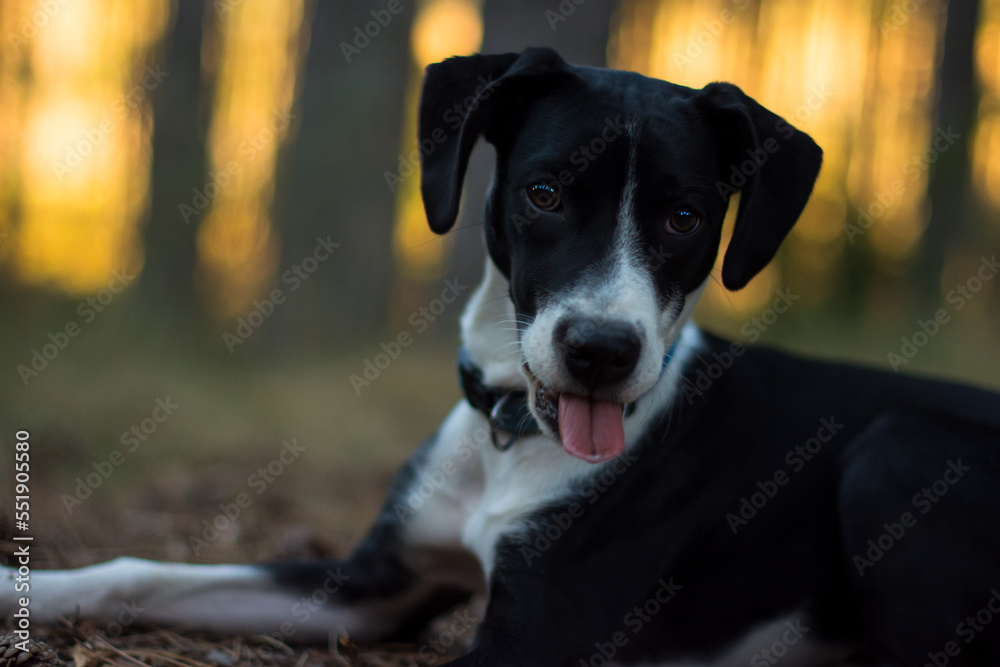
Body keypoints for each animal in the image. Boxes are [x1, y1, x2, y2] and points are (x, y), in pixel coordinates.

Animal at [5, 48, 1000, 667]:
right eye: (545, 192)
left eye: (685, 217)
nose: (601, 351)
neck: (513, 436)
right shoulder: (373, 587)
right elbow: (138, 569)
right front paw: (21, 587)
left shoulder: (535, 634)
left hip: (899, 451)